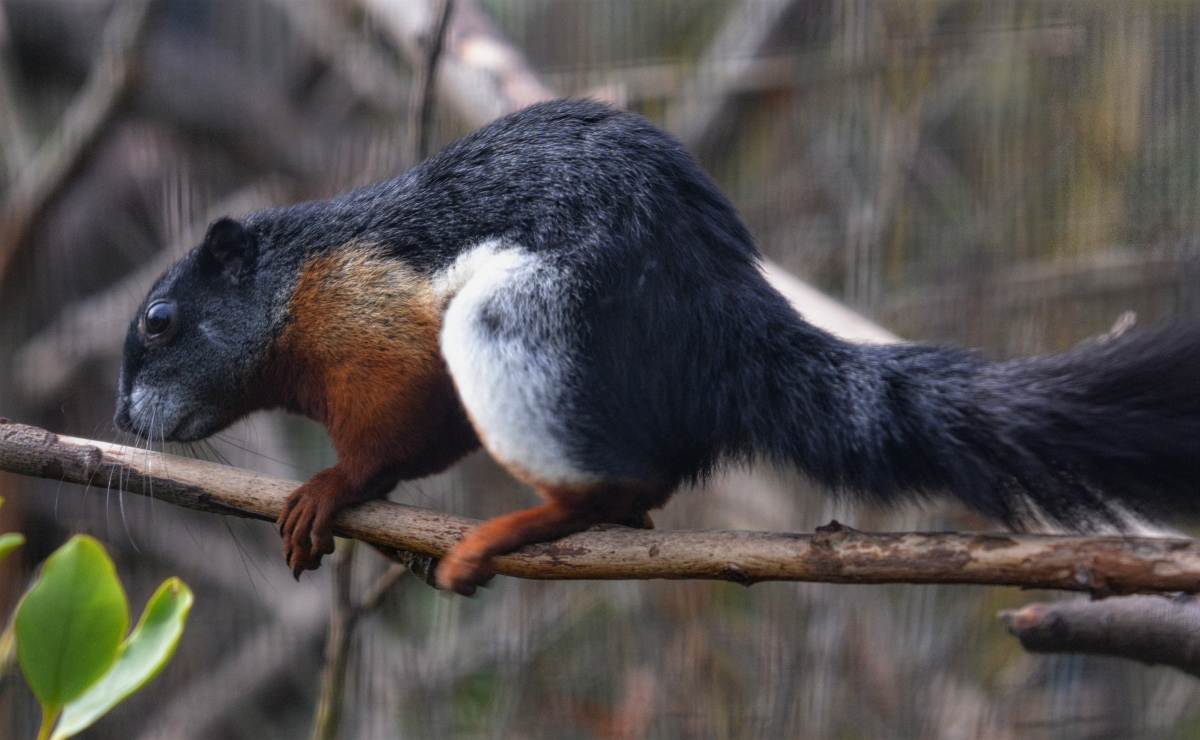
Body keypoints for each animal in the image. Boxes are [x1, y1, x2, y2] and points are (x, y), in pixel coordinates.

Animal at [114, 98, 1200, 595]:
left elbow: (388, 436)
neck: (299, 289)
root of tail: (718, 320)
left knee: (625, 479)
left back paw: (525, 528)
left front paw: (328, 490)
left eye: (160, 322)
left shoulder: (377, 332)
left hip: (521, 323)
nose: (120, 417)